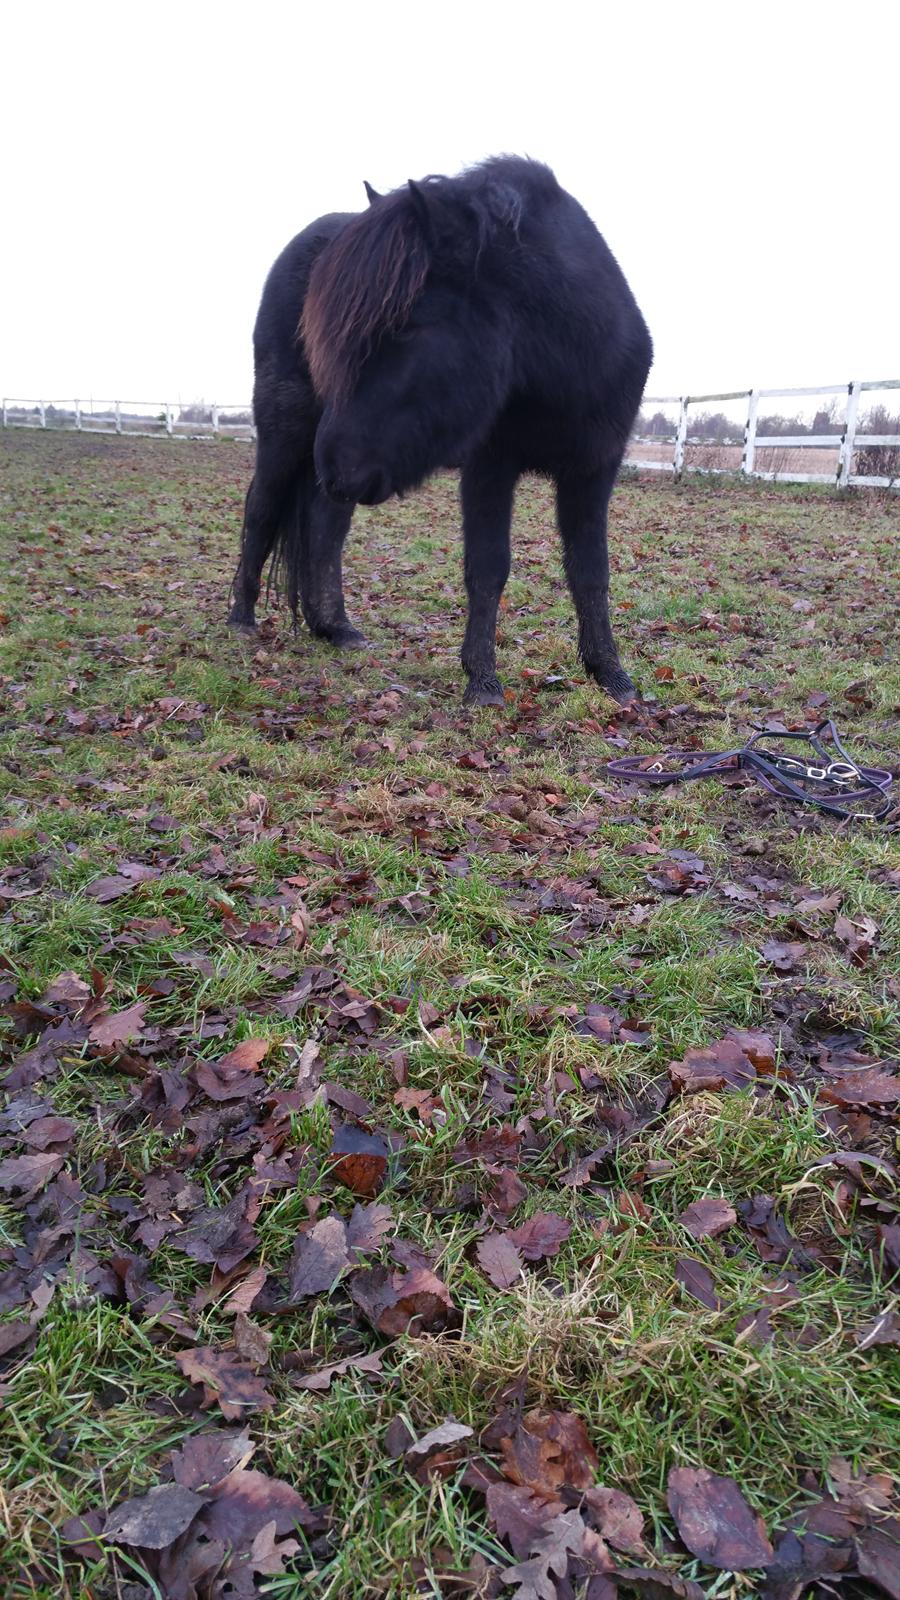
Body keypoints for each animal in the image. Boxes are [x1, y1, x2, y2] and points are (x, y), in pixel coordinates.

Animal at [229, 159, 650, 704]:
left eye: (408, 325)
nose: (334, 462)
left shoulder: (594, 470)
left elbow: (591, 572)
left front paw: (611, 676)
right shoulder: (490, 467)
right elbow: (488, 568)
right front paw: (483, 682)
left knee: (325, 529)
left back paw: (336, 627)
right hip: (286, 432)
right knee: (261, 510)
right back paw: (241, 618)